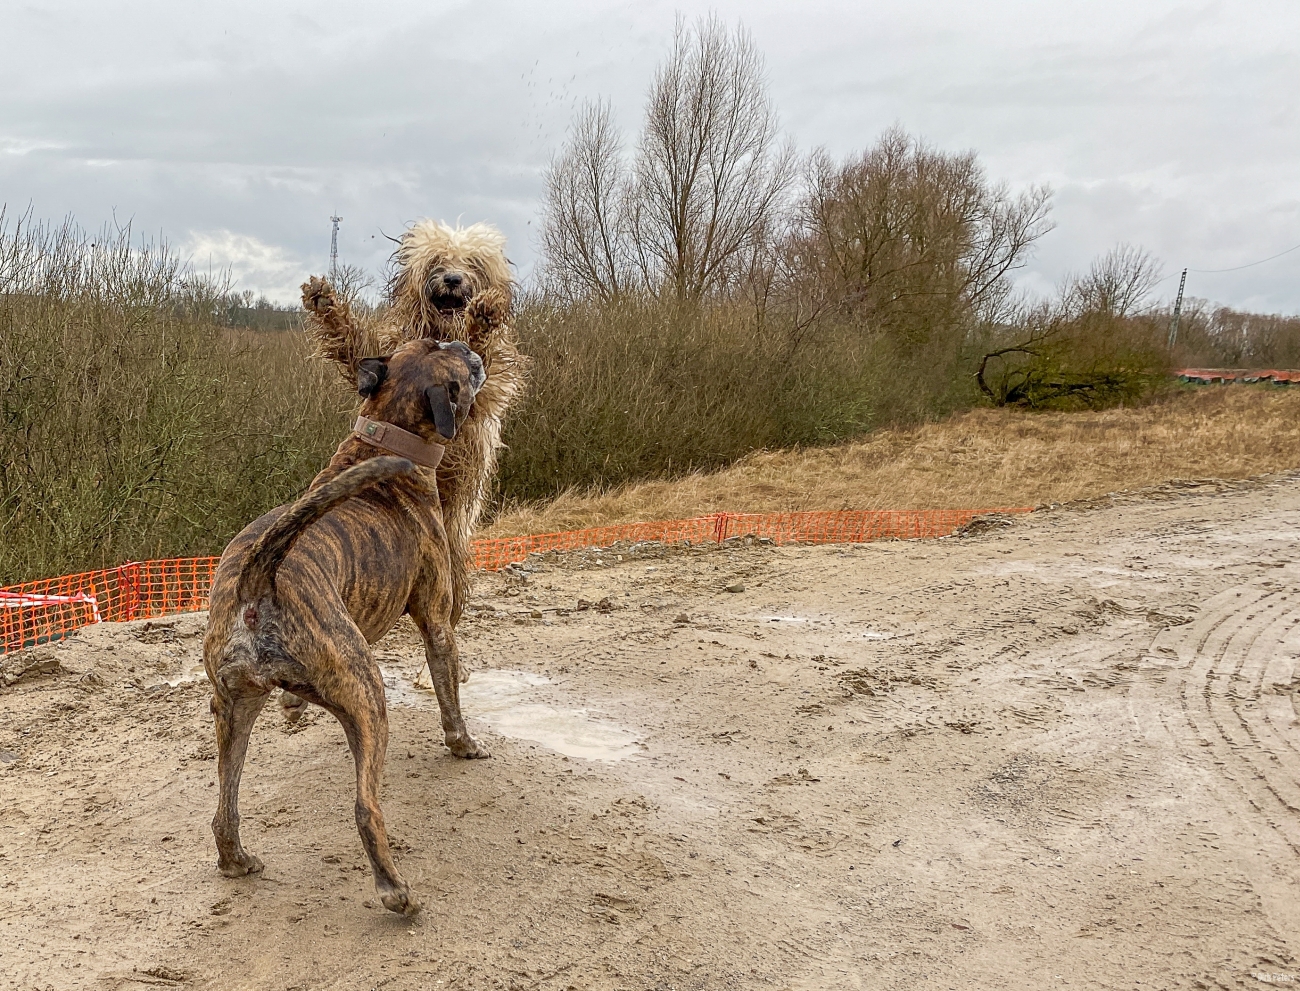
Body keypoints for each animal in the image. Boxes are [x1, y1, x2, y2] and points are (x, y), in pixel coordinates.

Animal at [202, 336, 490, 916]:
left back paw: (237, 861)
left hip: (235, 708)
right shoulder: (437, 622)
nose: (465, 342)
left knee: (225, 807)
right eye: (441, 347)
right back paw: (395, 891)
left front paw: (293, 712)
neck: (385, 430)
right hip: (366, 693)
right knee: (365, 809)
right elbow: (449, 693)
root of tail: (256, 581)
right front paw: (464, 744)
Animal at [302, 221, 528, 633]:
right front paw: (325, 302)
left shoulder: (480, 396)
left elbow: (480, 353)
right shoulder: (383, 357)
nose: (453, 279)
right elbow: (353, 341)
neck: (443, 328)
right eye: (438, 260)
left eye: (471, 263)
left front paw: (484, 316)